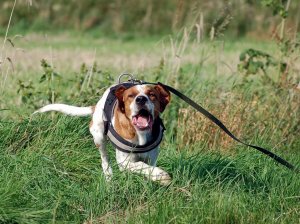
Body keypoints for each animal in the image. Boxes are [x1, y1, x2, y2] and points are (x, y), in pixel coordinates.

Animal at [33, 84, 171, 186]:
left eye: (152, 94)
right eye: (131, 96)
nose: (141, 99)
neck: (140, 133)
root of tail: (97, 105)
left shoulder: (152, 157)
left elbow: (147, 167)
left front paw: (155, 177)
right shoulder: (124, 161)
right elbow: (139, 165)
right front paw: (161, 175)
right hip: (99, 138)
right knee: (105, 161)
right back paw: (109, 177)